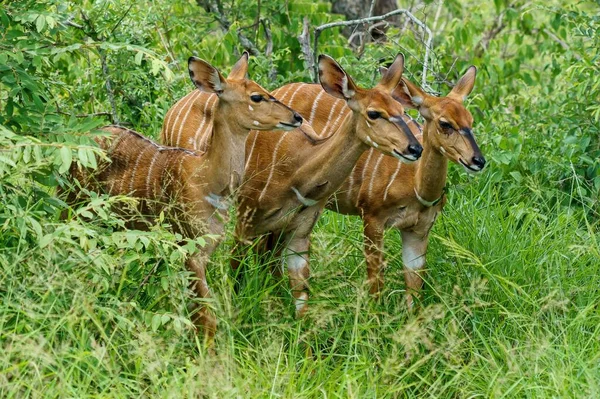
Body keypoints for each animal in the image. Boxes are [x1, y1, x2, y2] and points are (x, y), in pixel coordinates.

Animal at [67, 54, 302, 340]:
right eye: (256, 96)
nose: (297, 117)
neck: (208, 180)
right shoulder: (188, 246)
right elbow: (206, 317)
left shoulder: (208, 248)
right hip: (73, 202)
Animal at [231, 54, 422, 318]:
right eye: (374, 113)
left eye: (402, 110)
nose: (415, 148)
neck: (296, 170)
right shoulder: (245, 217)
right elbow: (235, 270)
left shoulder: (300, 229)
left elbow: (302, 297)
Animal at [318, 65, 482, 310]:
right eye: (445, 123)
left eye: (470, 120)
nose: (478, 160)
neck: (415, 188)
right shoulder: (372, 217)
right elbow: (376, 278)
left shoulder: (419, 229)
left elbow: (414, 285)